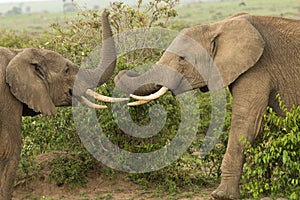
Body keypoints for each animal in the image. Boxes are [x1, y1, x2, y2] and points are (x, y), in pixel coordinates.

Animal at [114, 13, 300, 199]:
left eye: (182, 58)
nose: (123, 70)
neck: (216, 27)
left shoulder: (258, 68)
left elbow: (246, 122)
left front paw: (222, 195)